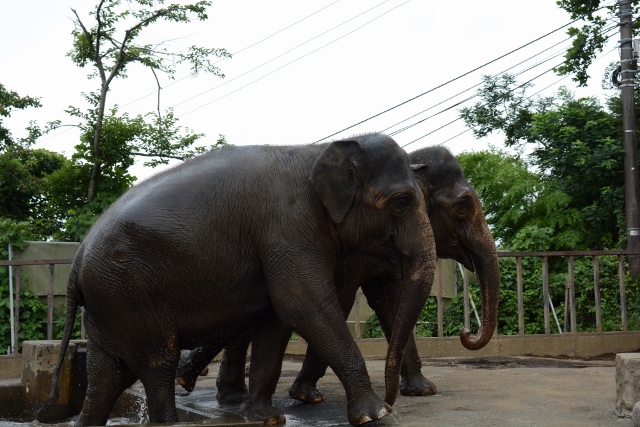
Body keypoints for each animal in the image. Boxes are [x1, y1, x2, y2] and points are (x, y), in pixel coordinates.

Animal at [52, 135, 438, 427]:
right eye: (401, 202)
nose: (396, 397)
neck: (318, 150)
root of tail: (76, 262)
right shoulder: (288, 228)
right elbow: (302, 304)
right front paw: (376, 415)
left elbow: (276, 319)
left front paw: (267, 418)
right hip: (129, 294)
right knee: (156, 366)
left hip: (109, 301)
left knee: (107, 377)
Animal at [178, 147, 502, 408]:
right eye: (463, 205)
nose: (466, 334)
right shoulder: (352, 249)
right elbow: (343, 299)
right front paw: (306, 395)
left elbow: (390, 302)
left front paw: (422, 390)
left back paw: (215, 391)